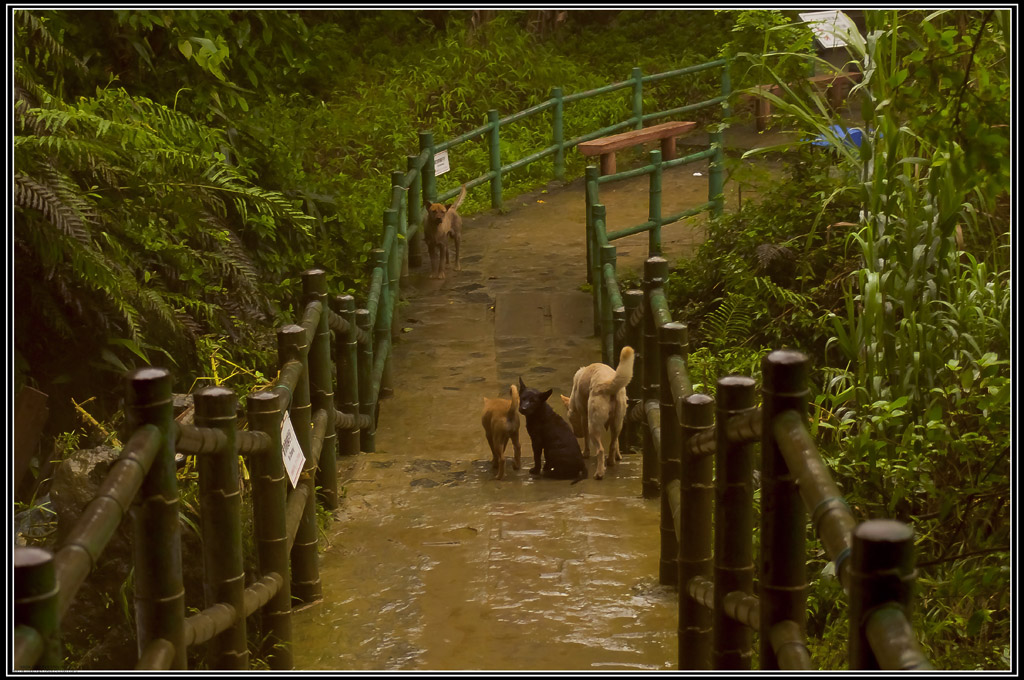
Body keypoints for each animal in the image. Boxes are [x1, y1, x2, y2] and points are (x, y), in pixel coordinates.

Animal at [561, 348, 630, 481]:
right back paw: (611, 462)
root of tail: (608, 385)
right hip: (617, 422)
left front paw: (585, 454)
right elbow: (617, 443)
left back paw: (599, 474)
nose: (576, 435)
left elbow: (586, 440)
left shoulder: (584, 417)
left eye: (570, 420)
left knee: (600, 450)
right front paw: (619, 456)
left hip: (593, 425)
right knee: (612, 444)